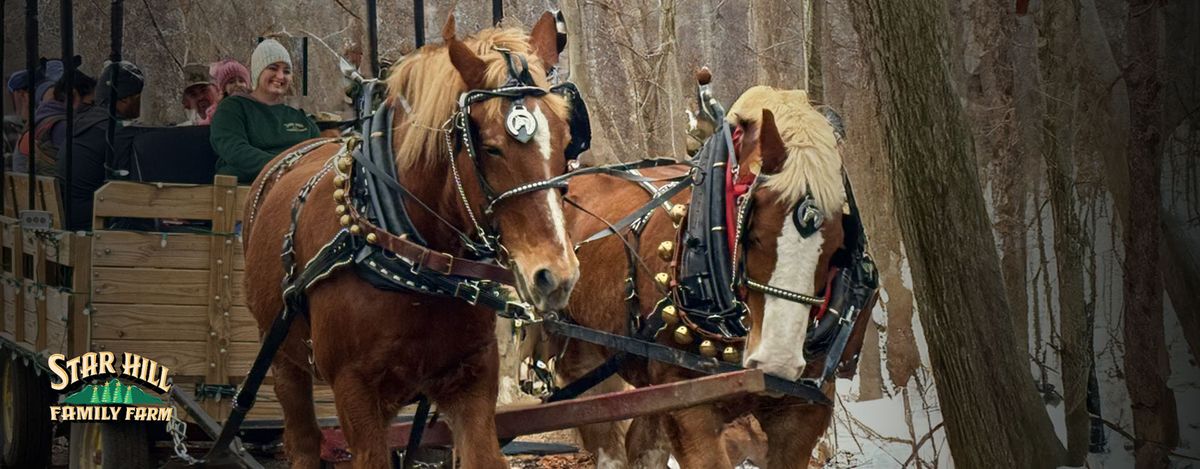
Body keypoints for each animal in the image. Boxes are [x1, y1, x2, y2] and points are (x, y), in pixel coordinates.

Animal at [241, 14, 578, 469]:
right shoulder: (354, 391)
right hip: (281, 357)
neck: (417, 263)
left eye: (566, 140)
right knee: (304, 440)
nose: (555, 275)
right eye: (490, 148)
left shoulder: (470, 381)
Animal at [554, 86, 844, 465]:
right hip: (584, 359)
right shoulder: (688, 406)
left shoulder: (802, 412)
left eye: (838, 248)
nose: (777, 360)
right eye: (753, 234)